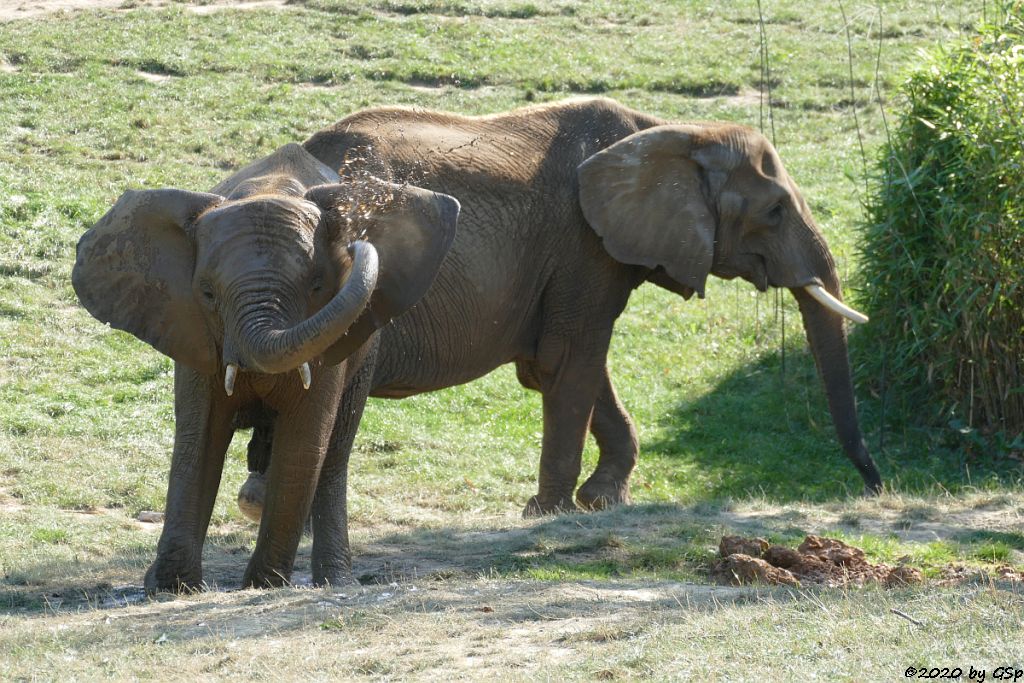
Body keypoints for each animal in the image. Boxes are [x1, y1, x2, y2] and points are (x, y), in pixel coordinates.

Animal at [75, 141, 464, 589]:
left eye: (317, 286)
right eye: (207, 293)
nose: (354, 242)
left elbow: (303, 439)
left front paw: (263, 584)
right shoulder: (191, 328)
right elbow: (199, 436)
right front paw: (169, 586)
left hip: (364, 346)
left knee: (335, 454)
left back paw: (334, 580)